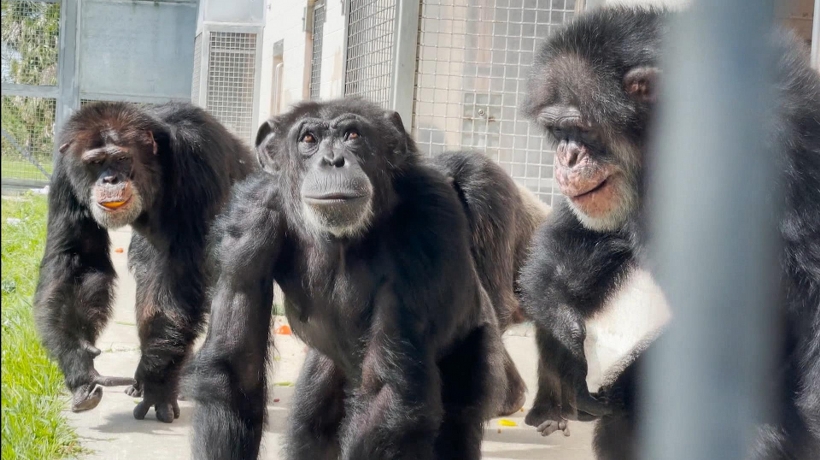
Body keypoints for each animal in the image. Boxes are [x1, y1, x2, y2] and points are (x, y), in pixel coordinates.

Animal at [33, 102, 255, 422]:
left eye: (122, 158)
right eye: (96, 163)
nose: (110, 179)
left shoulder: (198, 161)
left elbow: (178, 272)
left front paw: (157, 381)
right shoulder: (64, 176)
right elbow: (79, 258)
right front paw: (78, 359)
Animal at [187, 98, 506, 460]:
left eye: (352, 135)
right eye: (309, 139)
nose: (333, 160)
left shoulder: (430, 220)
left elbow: (385, 393)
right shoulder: (248, 219)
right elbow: (236, 365)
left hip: (478, 344)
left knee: (455, 423)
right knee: (311, 423)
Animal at [520, 4, 820, 460]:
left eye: (582, 128)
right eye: (557, 131)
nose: (566, 157)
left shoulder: (785, 146)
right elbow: (582, 227)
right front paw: (562, 326)